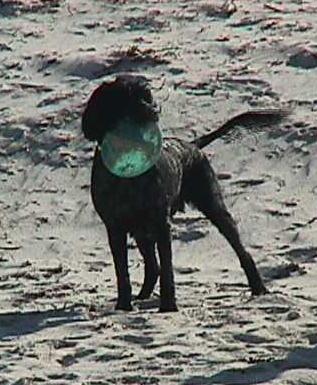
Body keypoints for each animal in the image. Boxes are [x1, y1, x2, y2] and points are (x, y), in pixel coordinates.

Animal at [81, 73, 284, 310]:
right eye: (124, 98)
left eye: (146, 95)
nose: (152, 111)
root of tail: (192, 144)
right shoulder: (115, 228)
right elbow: (122, 272)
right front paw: (124, 304)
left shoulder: (160, 223)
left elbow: (168, 269)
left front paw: (168, 306)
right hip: (142, 231)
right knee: (153, 266)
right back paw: (142, 295)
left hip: (213, 206)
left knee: (241, 251)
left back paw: (258, 287)